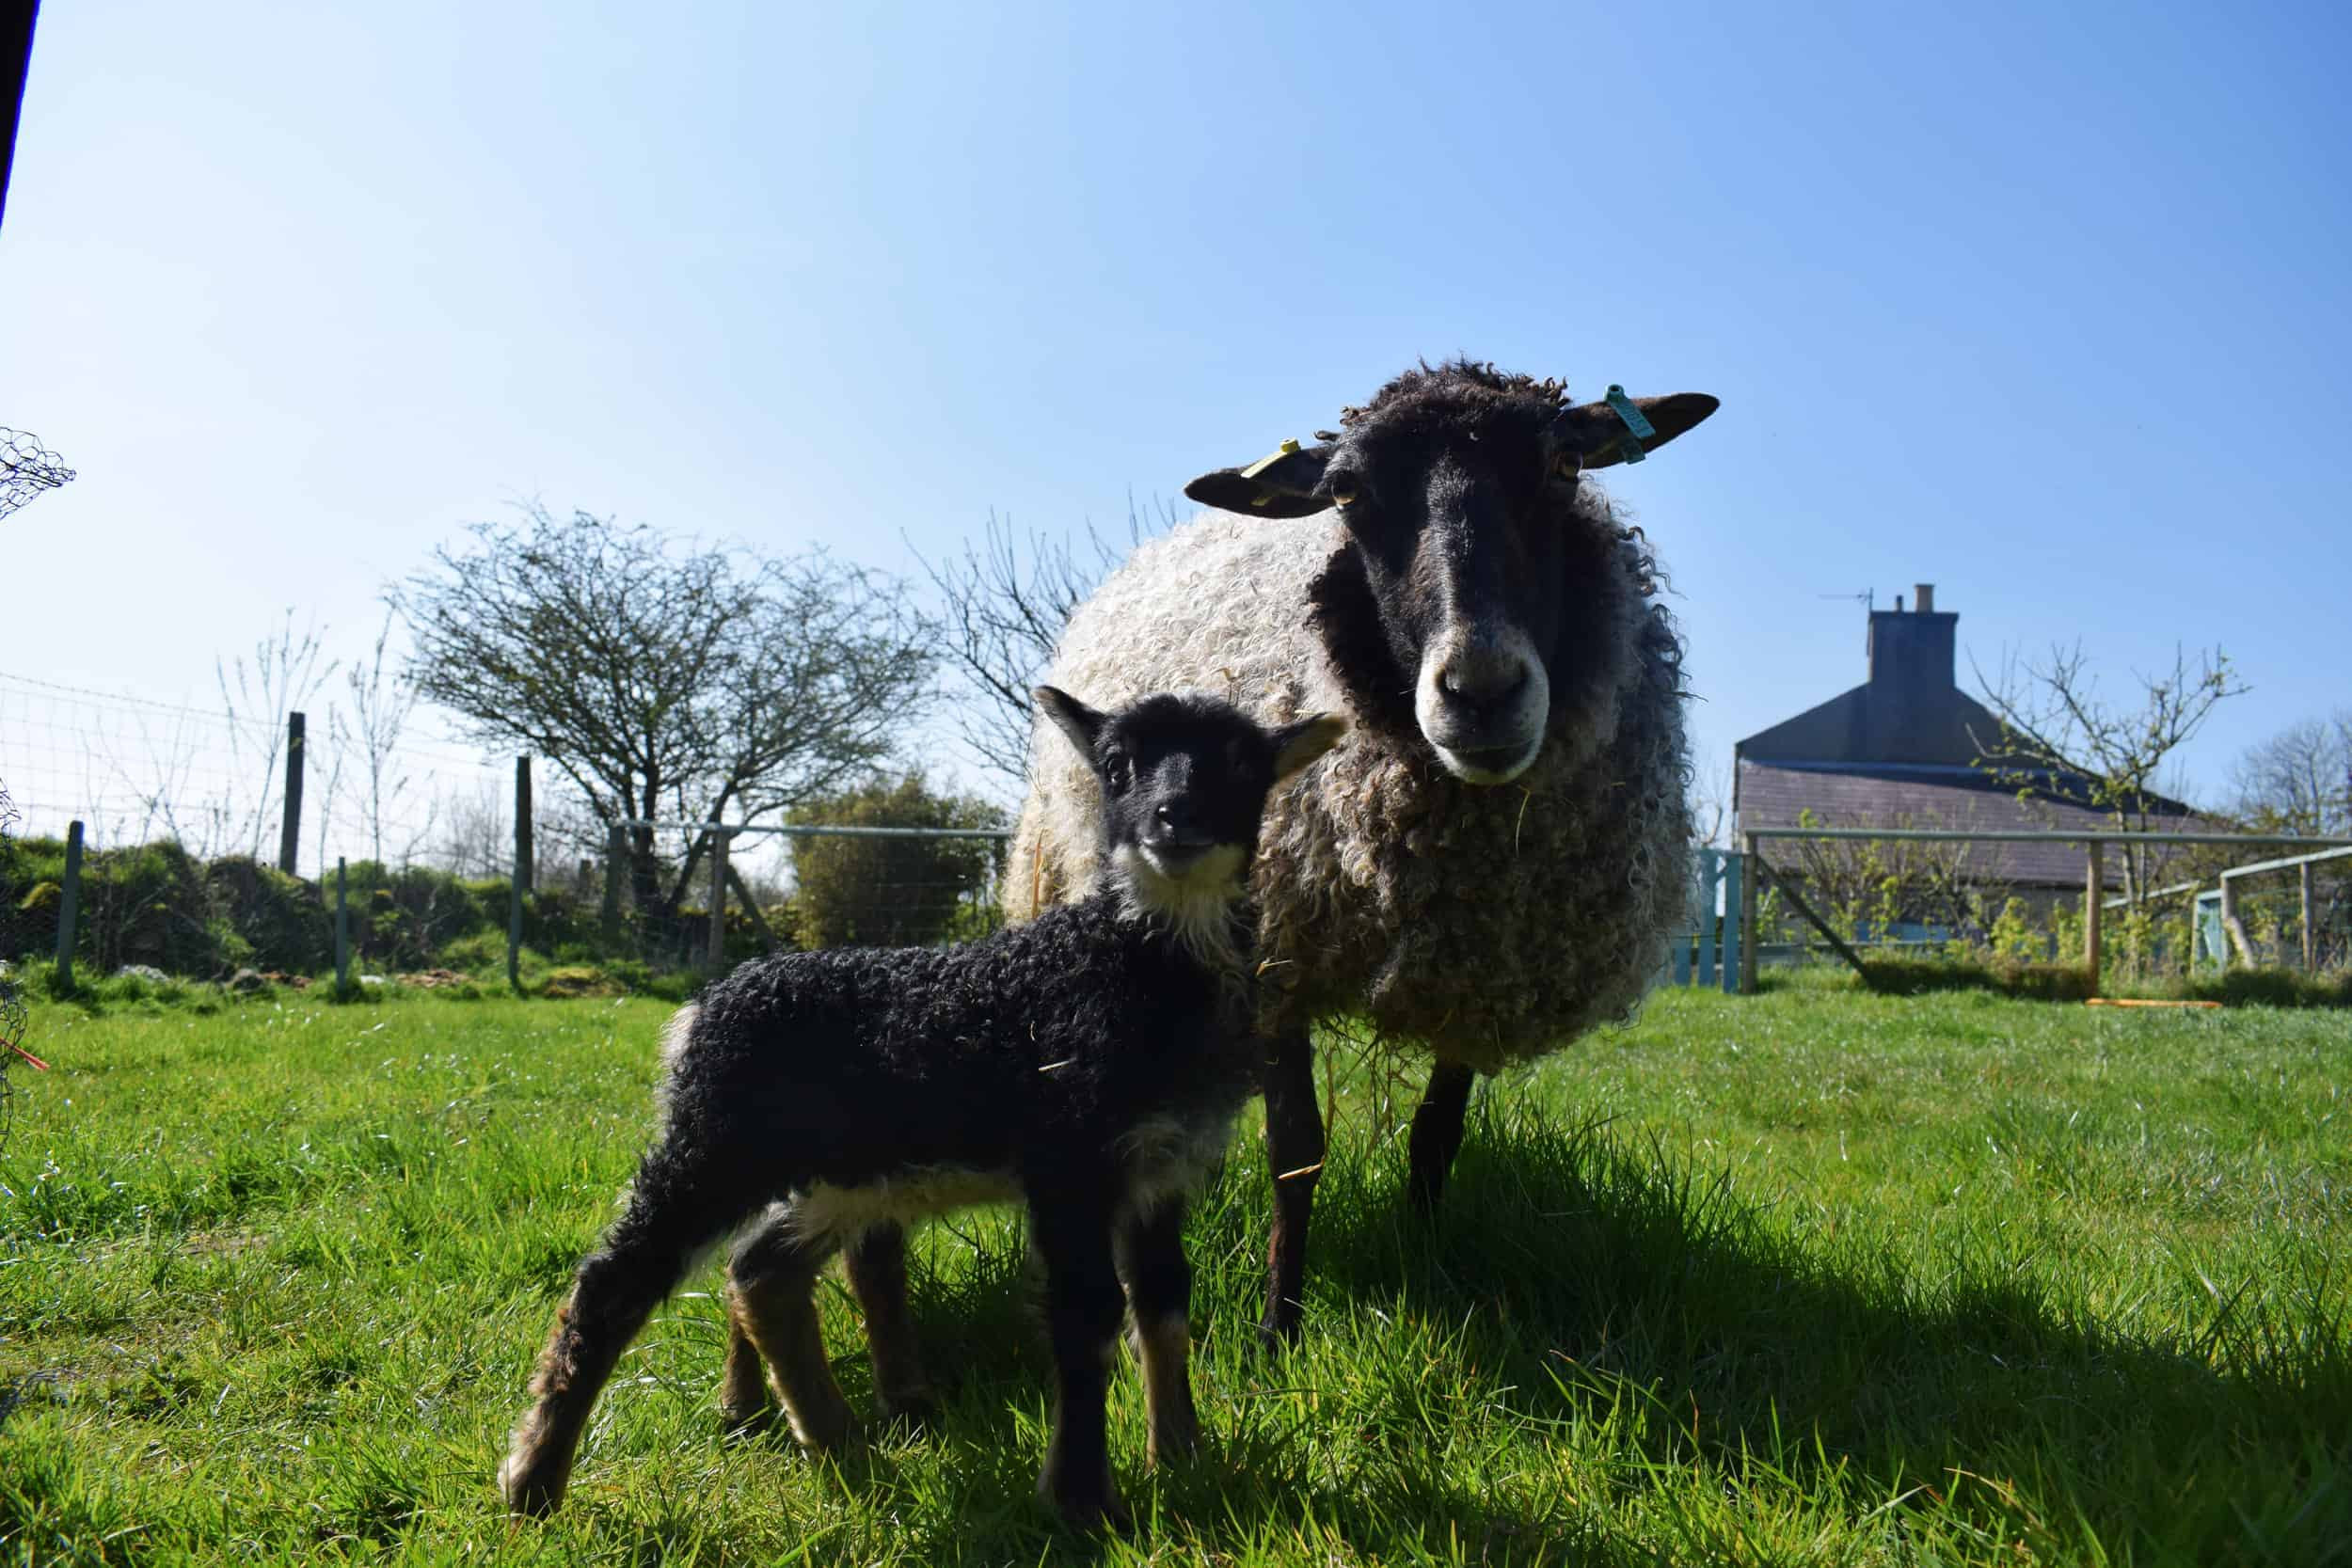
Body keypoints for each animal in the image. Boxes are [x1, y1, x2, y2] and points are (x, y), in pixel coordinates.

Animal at [494, 686, 1345, 1523]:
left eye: (1241, 761)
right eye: (1116, 764)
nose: (1176, 816)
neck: (1121, 962)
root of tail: (707, 1004)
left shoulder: (1161, 1163)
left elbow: (1164, 1301)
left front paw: (1183, 1458)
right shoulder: (1069, 1152)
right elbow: (1090, 1309)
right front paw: (1082, 1499)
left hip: (838, 1167)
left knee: (761, 1270)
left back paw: (837, 1444)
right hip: (716, 1145)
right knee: (615, 1283)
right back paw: (534, 1480)